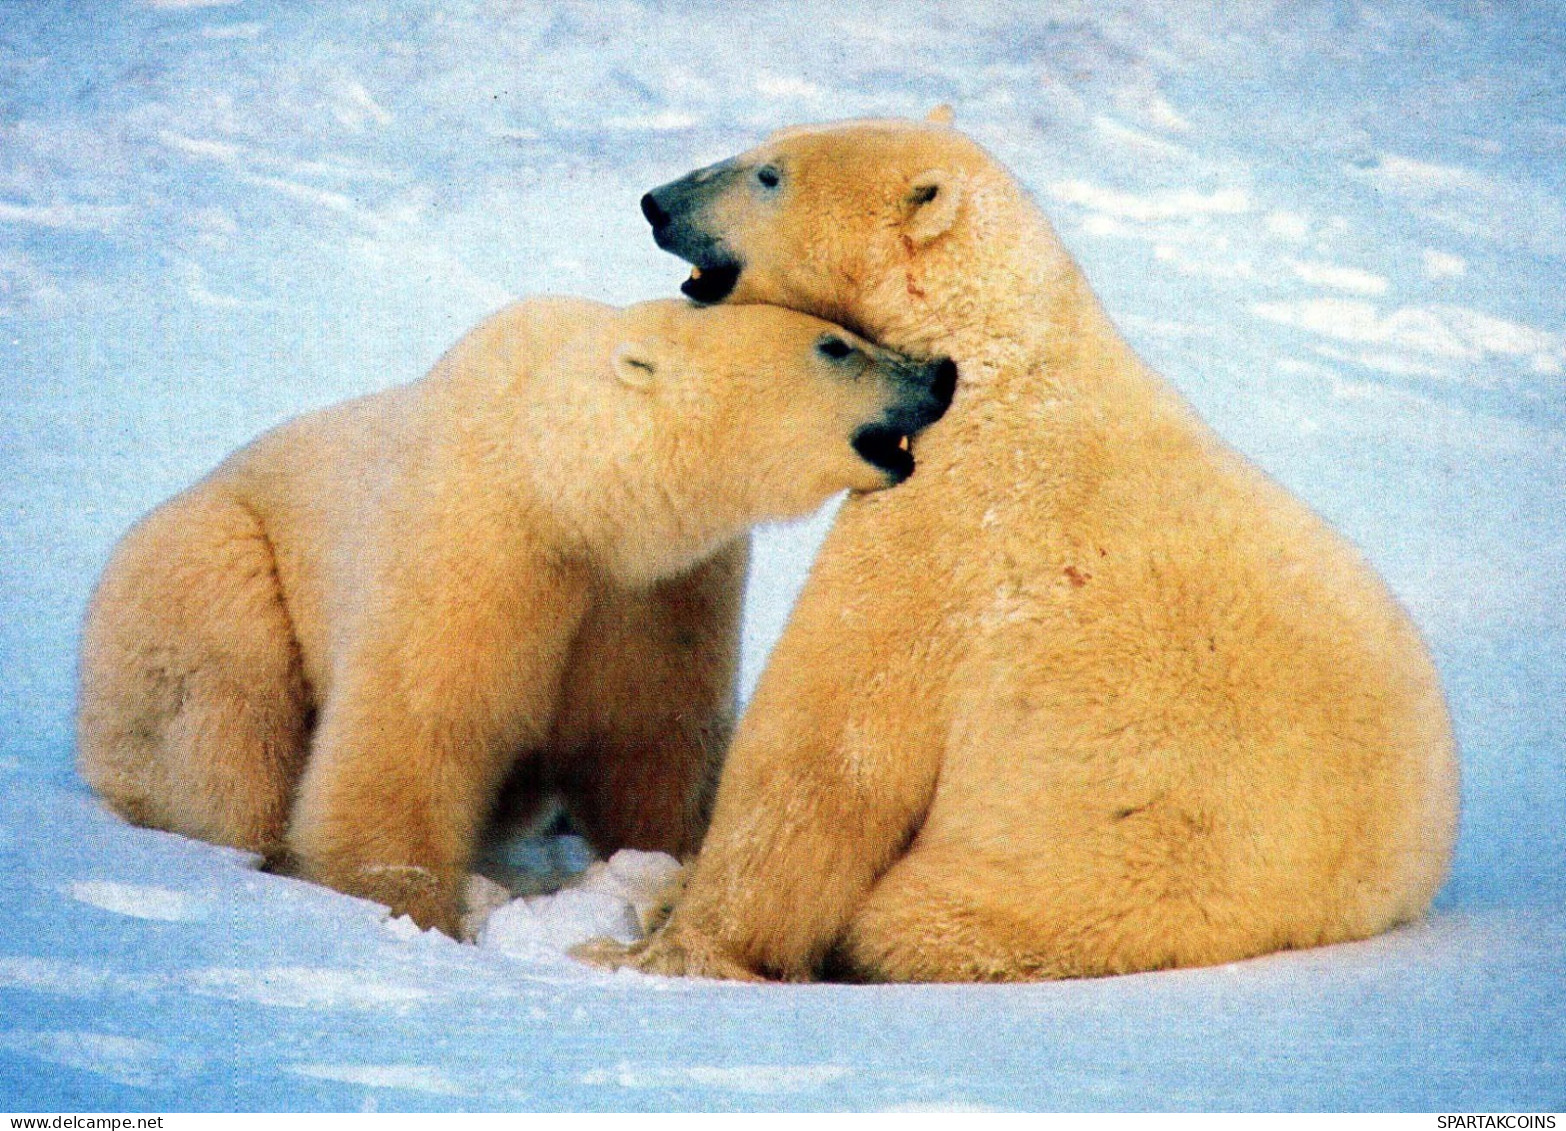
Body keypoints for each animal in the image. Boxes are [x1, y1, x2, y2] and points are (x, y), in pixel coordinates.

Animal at [79, 292, 952, 933]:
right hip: (192, 569)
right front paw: (406, 909)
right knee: (227, 717)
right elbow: (414, 729)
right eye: (835, 345)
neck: (559, 480)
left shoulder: (661, 590)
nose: (939, 372)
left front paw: (663, 862)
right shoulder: (476, 541)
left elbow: (651, 737)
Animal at [601, 112, 1465, 977]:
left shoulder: (946, 529)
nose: (655, 203)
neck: (989, 361)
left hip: (1098, 881)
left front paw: (669, 945)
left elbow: (827, 751)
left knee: (913, 919)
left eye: (768, 174)